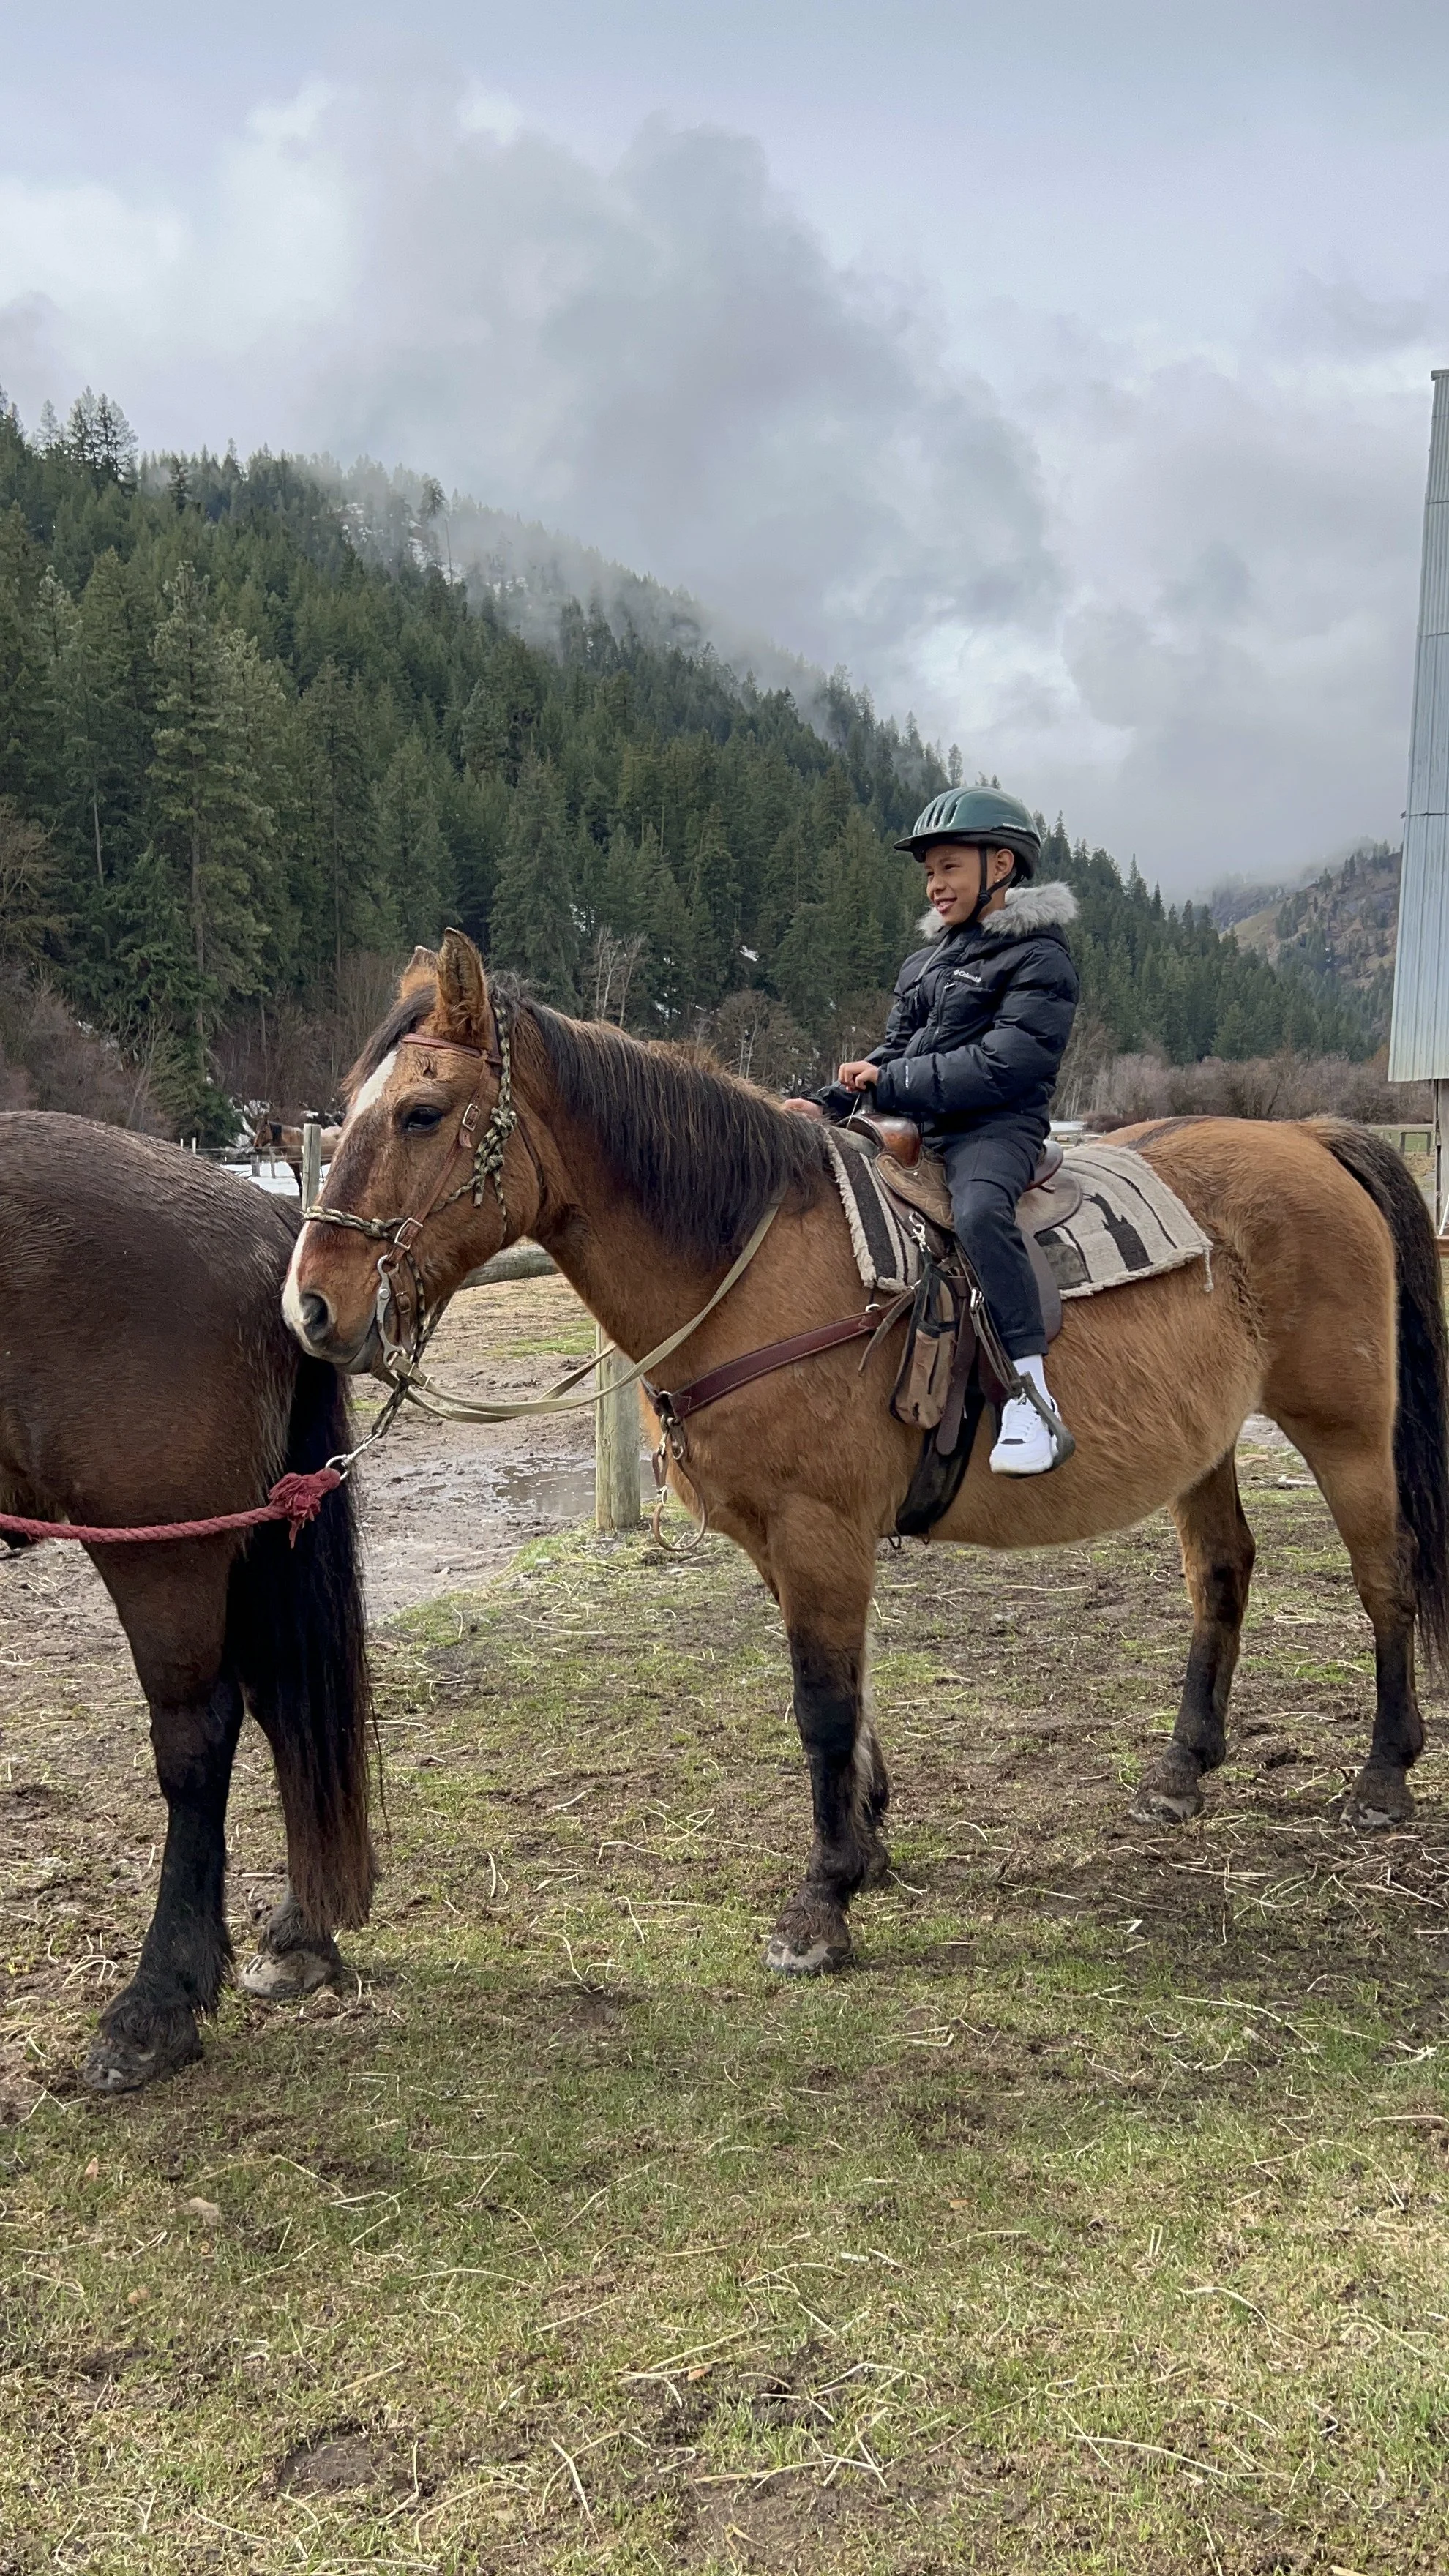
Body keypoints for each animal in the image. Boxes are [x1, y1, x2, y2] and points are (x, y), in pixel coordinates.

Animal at [0, 1113, 375, 2090]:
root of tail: (270, 1220)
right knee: (280, 1705)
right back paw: (299, 1936)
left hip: (162, 1551)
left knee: (199, 1739)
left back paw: (155, 2004)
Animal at [283, 930, 1449, 1982]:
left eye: (422, 1112)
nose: (312, 1307)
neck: (746, 1261)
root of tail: (1309, 1137)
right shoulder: (781, 1541)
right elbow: (849, 1694)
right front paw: (871, 1843)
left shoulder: (819, 1530)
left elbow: (822, 1706)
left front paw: (824, 1898)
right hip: (1204, 1443)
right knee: (1222, 1573)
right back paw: (1181, 1771)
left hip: (1345, 1427)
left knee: (1383, 1574)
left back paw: (1383, 1776)